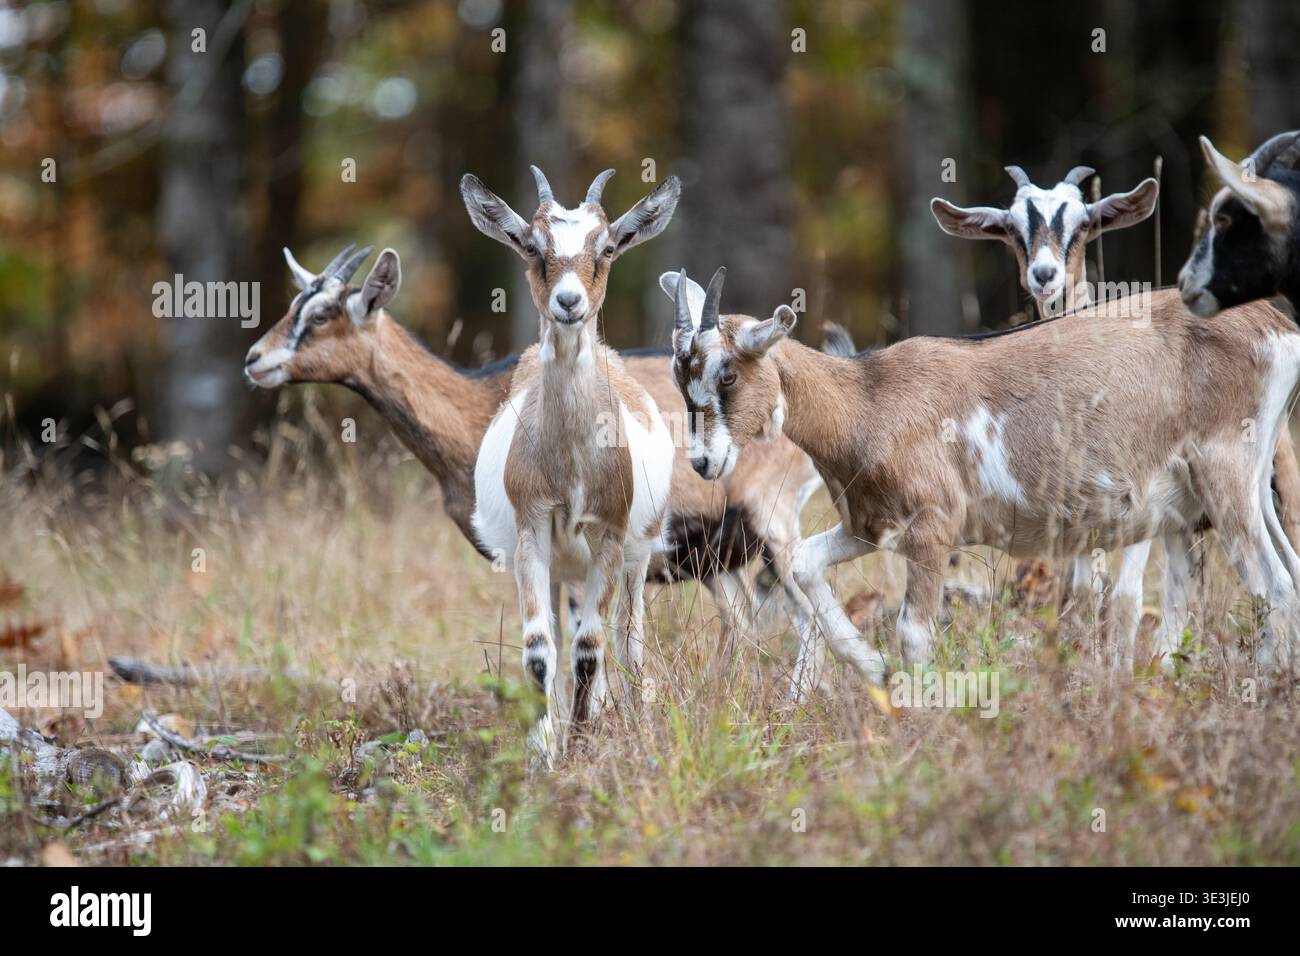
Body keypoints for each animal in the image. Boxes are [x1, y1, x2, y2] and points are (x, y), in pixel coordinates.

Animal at [666, 267, 1300, 694]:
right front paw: (873, 668)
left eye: (727, 374)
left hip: (1225, 472)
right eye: (680, 376)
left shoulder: (932, 528)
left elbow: (914, 632)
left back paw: (1262, 690)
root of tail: (1276, 327)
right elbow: (803, 563)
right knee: (1290, 572)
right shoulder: (869, 526)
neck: (867, 403)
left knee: (1274, 587)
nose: (702, 462)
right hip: (1250, 485)